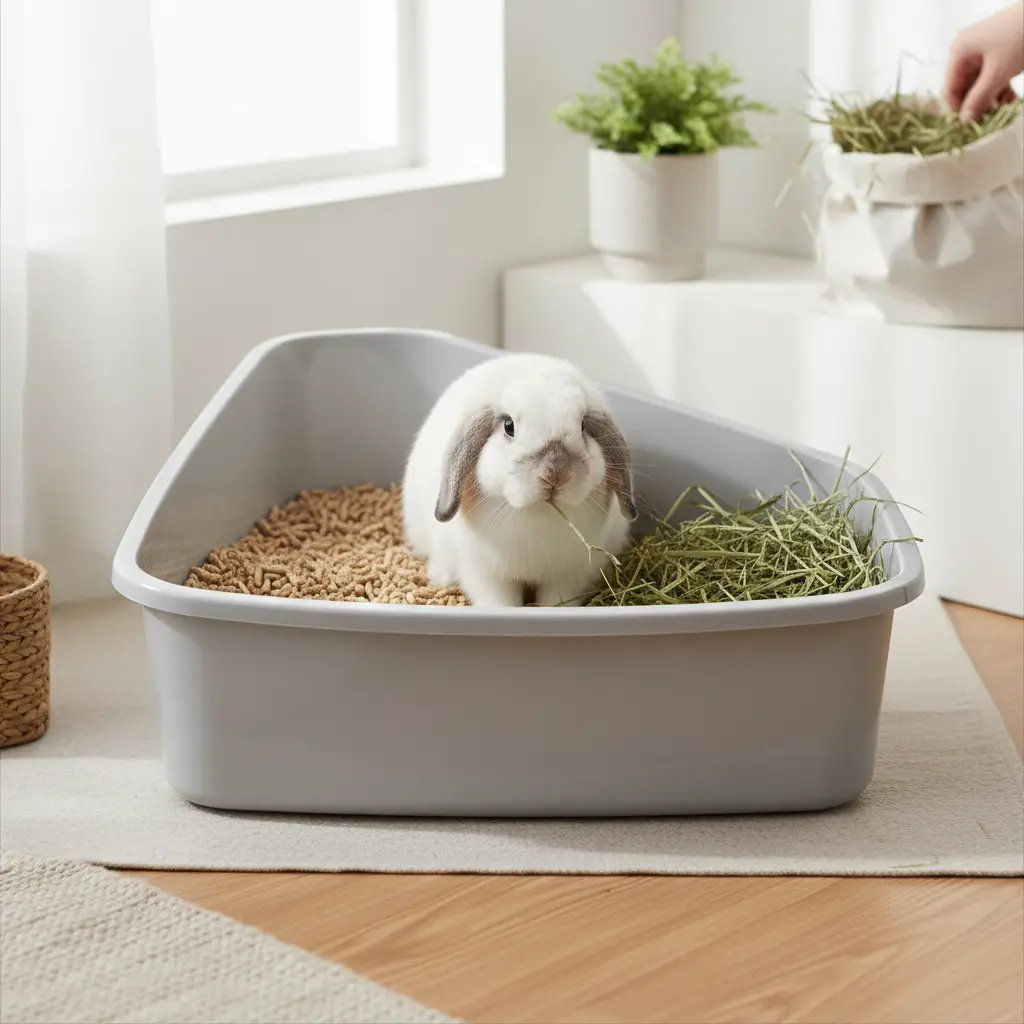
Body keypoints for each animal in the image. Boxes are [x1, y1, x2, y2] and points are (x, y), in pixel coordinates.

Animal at [402, 353, 637, 608]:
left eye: (583, 425)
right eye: (508, 426)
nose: (555, 473)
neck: (538, 515)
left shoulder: (568, 578)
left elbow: (557, 602)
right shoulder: (487, 576)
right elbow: (500, 603)